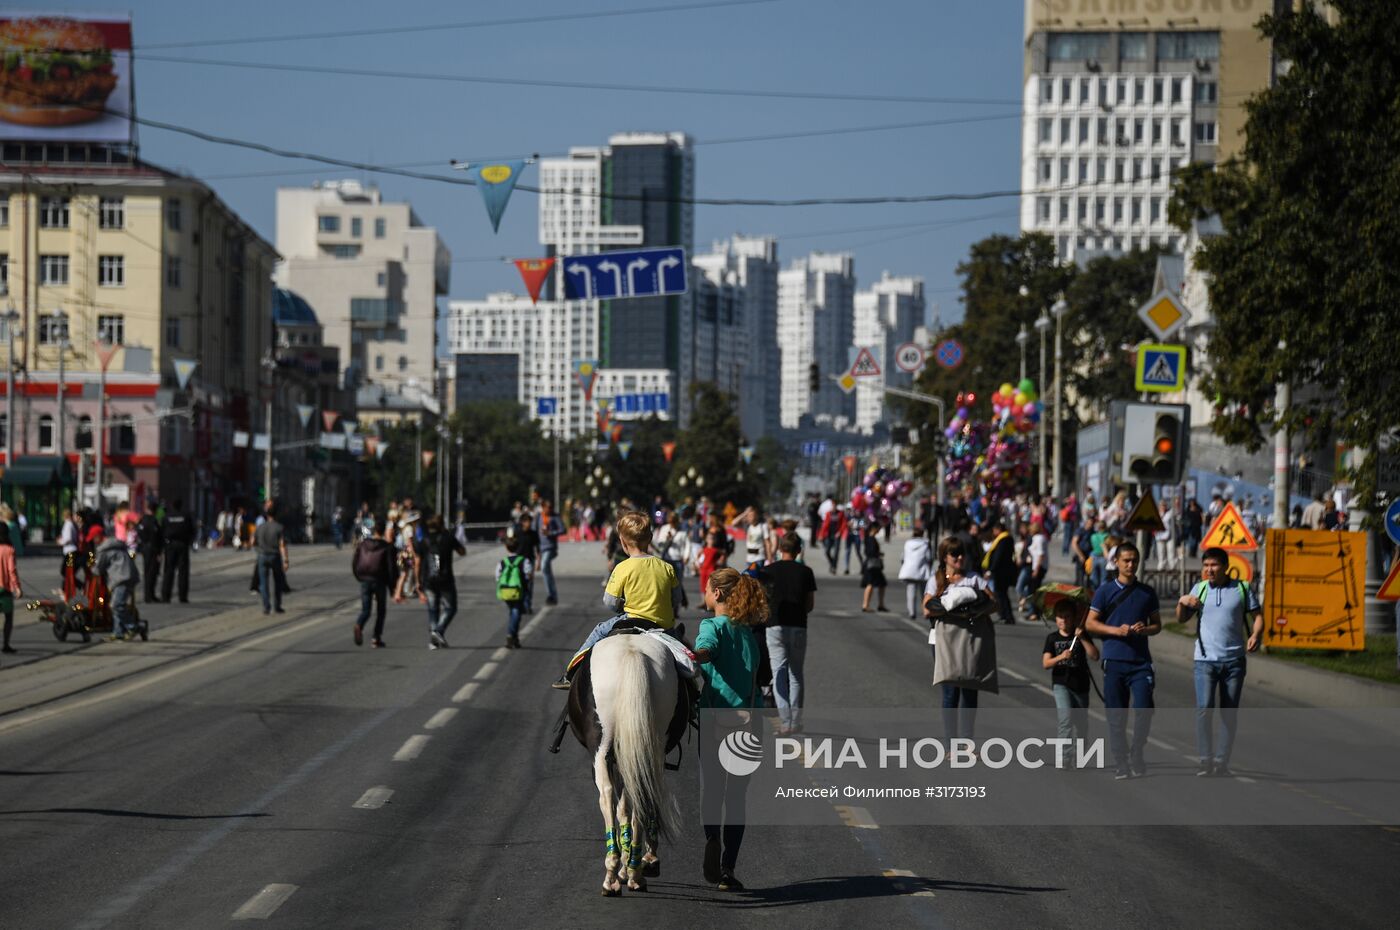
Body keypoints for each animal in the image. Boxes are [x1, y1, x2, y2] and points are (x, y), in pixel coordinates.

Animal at [588, 633, 680, 896]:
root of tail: (633, 652)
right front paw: (636, 861)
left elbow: (621, 808)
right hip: (649, 744)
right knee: (640, 794)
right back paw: (633, 871)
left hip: (603, 747)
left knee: (608, 795)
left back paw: (614, 875)